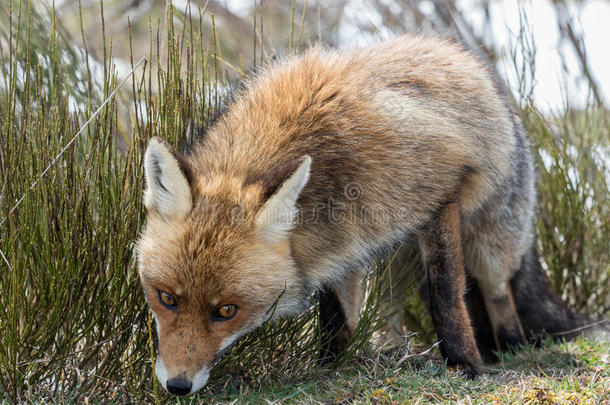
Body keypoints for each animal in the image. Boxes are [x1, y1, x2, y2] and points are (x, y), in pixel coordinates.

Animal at [135, 34, 604, 394]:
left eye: (227, 311)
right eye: (166, 298)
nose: (177, 386)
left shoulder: (440, 195)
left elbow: (446, 296)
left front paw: (464, 366)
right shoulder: (338, 242)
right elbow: (336, 316)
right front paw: (330, 366)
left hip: (487, 244)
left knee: (496, 291)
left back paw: (507, 346)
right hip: (389, 249)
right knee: (389, 311)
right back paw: (390, 351)